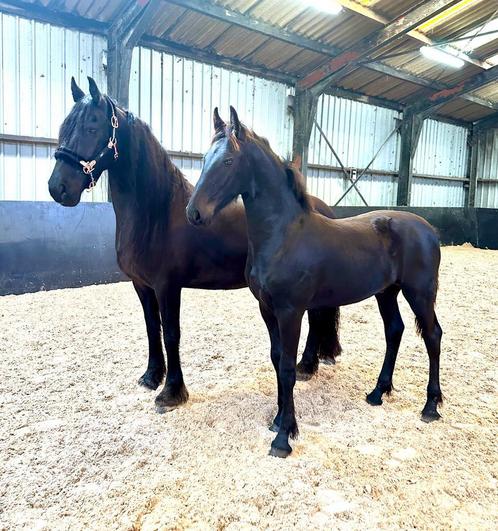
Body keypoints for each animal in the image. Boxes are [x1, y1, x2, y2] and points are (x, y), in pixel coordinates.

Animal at [47, 77, 342, 414]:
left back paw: (307, 365)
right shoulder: (141, 285)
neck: (157, 213)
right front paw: (152, 377)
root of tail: (321, 208)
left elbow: (171, 334)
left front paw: (171, 392)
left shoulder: (167, 286)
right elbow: (152, 329)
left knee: (316, 319)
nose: (58, 188)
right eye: (65, 126)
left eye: (91, 127)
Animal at [187, 107, 444, 458]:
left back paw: (430, 406)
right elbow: (277, 359)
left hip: (419, 293)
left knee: (432, 336)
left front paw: (284, 438)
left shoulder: (291, 311)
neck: (283, 236)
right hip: (386, 293)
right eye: (203, 159)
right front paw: (279, 420)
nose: (194, 213)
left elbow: (287, 368)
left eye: (228, 161)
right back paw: (377, 393)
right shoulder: (267, 310)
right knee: (395, 331)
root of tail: (428, 228)